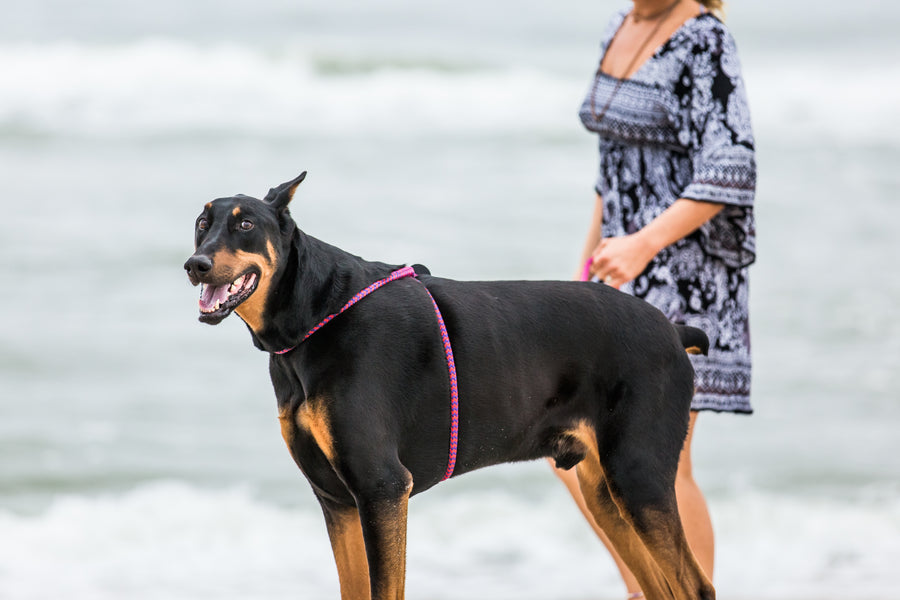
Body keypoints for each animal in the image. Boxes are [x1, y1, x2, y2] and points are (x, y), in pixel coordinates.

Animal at [185, 173, 716, 600]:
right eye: (200, 222)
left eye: (245, 226)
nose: (195, 265)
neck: (315, 316)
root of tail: (673, 331)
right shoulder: (336, 499)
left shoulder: (382, 488)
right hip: (604, 492)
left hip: (637, 475)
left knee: (695, 586)